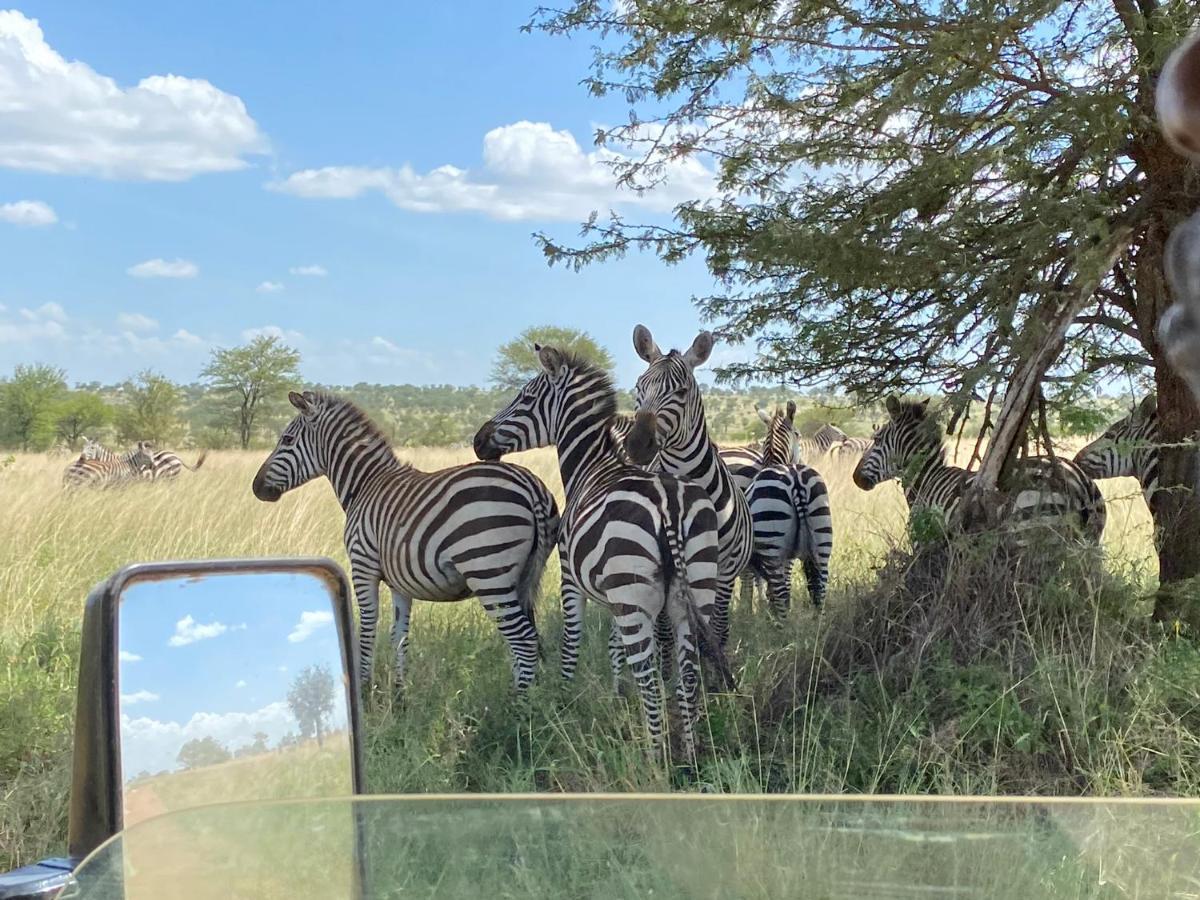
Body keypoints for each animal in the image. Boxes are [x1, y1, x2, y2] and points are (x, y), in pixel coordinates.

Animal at [250, 391, 559, 696]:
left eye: (287, 440)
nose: (256, 487)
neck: (365, 484)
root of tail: (531, 486)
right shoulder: (400, 583)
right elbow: (399, 636)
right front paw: (399, 694)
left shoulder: (362, 566)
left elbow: (367, 627)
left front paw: (365, 689)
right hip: (523, 576)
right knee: (526, 639)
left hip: (487, 572)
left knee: (524, 641)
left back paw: (518, 704)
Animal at [472, 348, 724, 758]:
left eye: (524, 397)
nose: (479, 441)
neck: (591, 465)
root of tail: (669, 504)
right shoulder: (612, 595)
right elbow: (613, 648)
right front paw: (617, 698)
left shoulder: (571, 579)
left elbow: (571, 643)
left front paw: (564, 701)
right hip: (696, 589)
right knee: (687, 674)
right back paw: (689, 754)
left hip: (637, 598)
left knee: (649, 678)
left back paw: (655, 757)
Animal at [624, 326, 753, 648]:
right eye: (639, 386)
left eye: (680, 392)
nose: (637, 444)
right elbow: (666, 634)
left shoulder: (725, 571)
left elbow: (717, 630)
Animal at [739, 408, 835, 614]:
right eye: (798, 435)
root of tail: (795, 480)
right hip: (823, 537)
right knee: (820, 590)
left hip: (773, 547)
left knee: (781, 592)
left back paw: (780, 622)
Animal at [854, 396, 1104, 542]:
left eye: (876, 440)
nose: (855, 478)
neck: (926, 479)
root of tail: (1077, 480)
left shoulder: (923, 536)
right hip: (1090, 544)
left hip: (1029, 530)